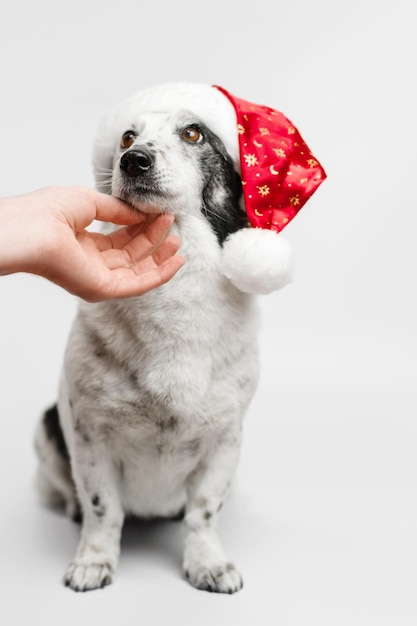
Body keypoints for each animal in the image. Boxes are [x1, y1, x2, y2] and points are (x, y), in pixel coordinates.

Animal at [34, 86, 260, 588]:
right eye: (126, 137)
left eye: (193, 133)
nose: (133, 160)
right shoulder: (90, 436)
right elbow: (104, 510)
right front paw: (93, 561)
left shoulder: (225, 440)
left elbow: (203, 513)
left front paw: (208, 563)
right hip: (46, 429)